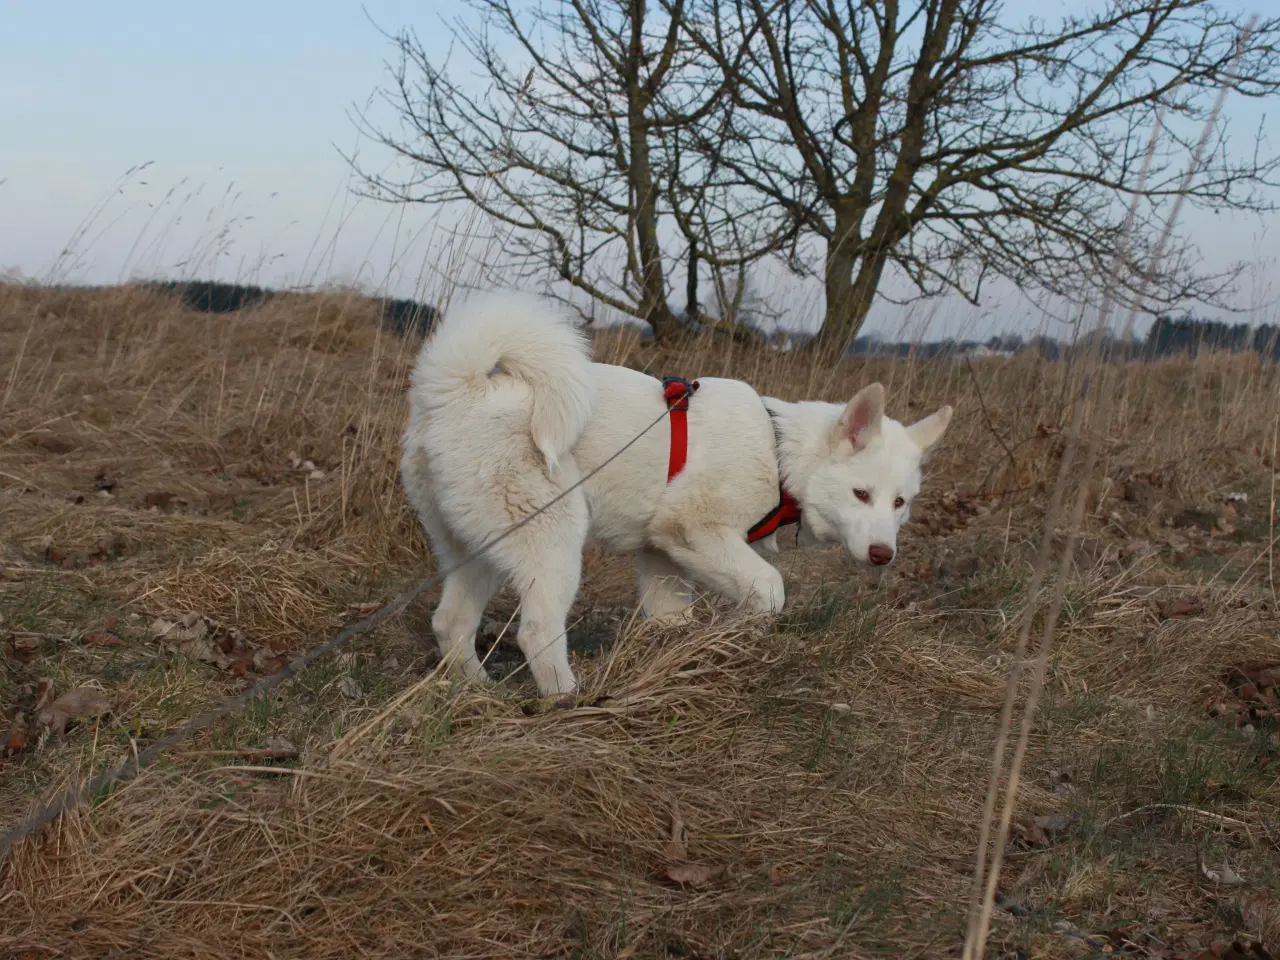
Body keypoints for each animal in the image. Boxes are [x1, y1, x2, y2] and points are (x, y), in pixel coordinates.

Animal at [399, 293, 952, 701]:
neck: (779, 453)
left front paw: (686, 658)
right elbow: (770, 588)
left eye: (900, 503)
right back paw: (569, 699)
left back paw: (477, 691)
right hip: (552, 543)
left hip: (478, 550)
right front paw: (743, 631)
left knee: (451, 623)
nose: (883, 555)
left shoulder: (662, 556)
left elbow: (673, 619)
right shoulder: (693, 530)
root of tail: (457, 390)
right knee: (535, 632)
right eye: (861, 494)